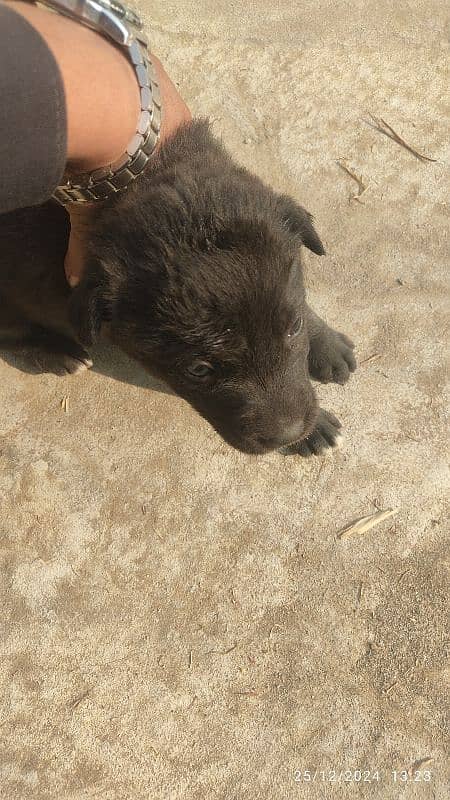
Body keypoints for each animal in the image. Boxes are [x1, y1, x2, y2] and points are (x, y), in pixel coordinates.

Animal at [0, 119, 356, 456]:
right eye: (198, 369)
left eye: (293, 328)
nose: (288, 434)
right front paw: (315, 430)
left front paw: (326, 343)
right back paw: (58, 353)